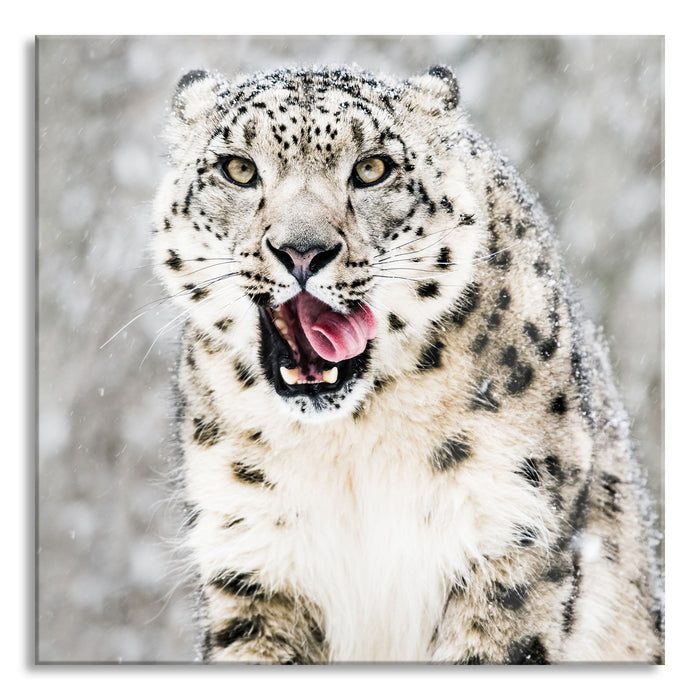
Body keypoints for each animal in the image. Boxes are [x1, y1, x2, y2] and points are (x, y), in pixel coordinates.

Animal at [151, 64, 664, 663]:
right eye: (238, 169)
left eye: (372, 169)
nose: (302, 251)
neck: (349, 446)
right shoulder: (253, 554)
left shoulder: (511, 535)